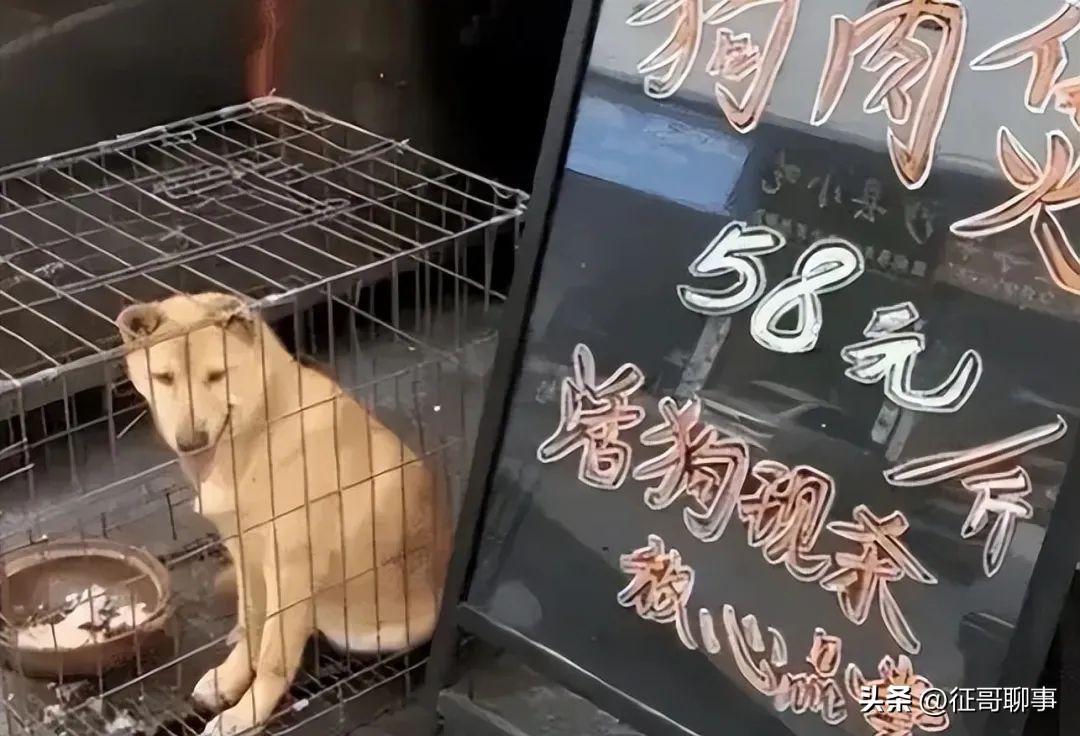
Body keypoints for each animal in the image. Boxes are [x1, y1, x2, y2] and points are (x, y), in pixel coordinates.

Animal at [116, 293, 450, 735]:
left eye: (217, 375)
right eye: (164, 377)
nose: (191, 441)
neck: (260, 430)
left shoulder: (290, 570)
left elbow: (273, 657)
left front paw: (246, 715)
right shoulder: (247, 557)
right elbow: (252, 628)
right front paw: (230, 679)